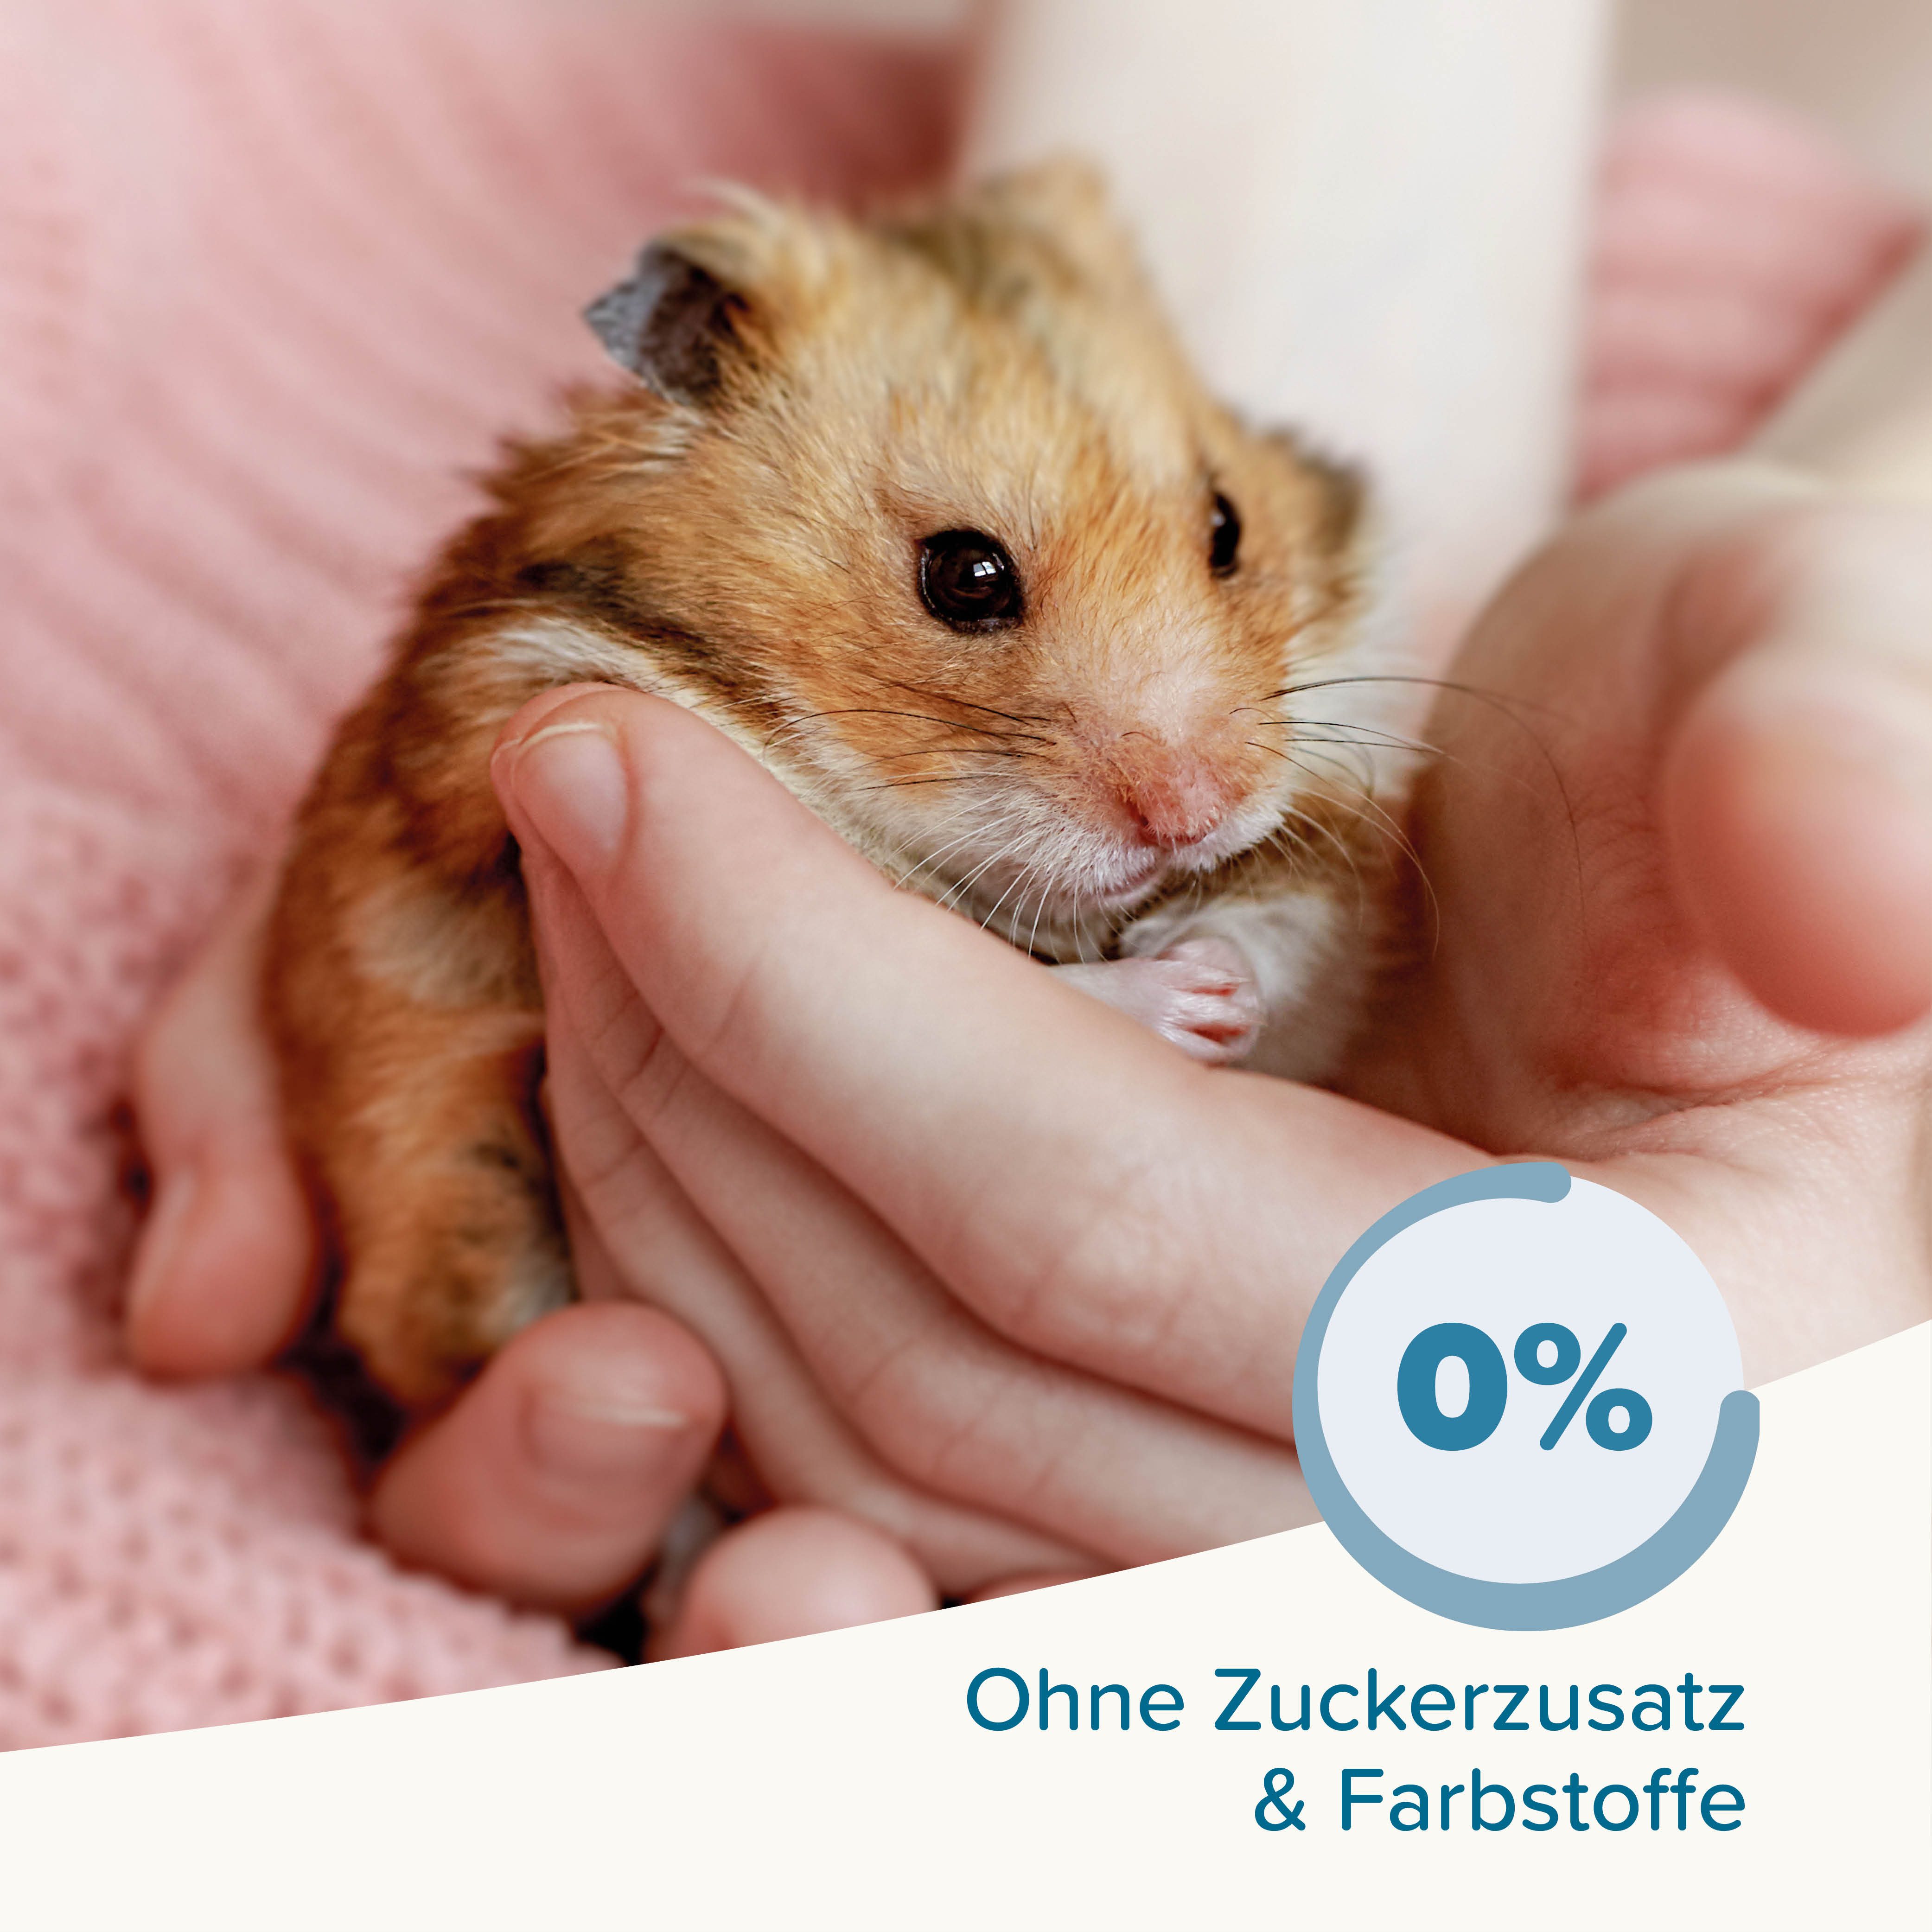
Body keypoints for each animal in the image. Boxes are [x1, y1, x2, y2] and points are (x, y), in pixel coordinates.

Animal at [264, 159, 1403, 1409]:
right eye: (965, 575)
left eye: (1226, 526)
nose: (1195, 818)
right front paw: (1190, 1000)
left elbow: (1287, 921)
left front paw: (1217, 978)